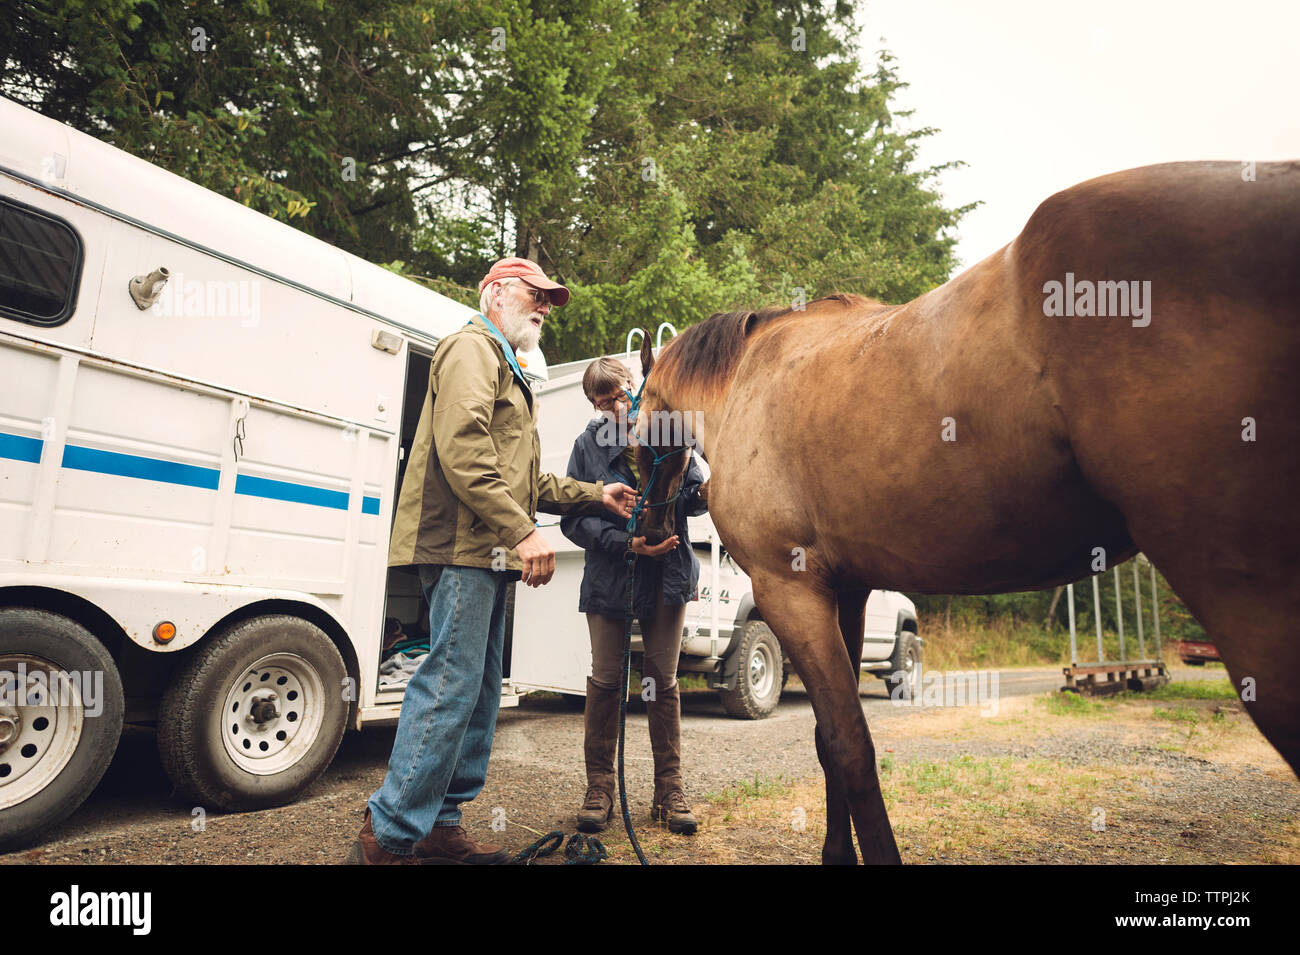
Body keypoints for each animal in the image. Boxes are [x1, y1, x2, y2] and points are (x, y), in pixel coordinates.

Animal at [629, 160, 1300, 864]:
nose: (647, 534)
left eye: (632, 427)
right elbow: (827, 742)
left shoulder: (790, 591)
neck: (745, 382)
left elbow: (849, 745)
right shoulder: (847, 590)